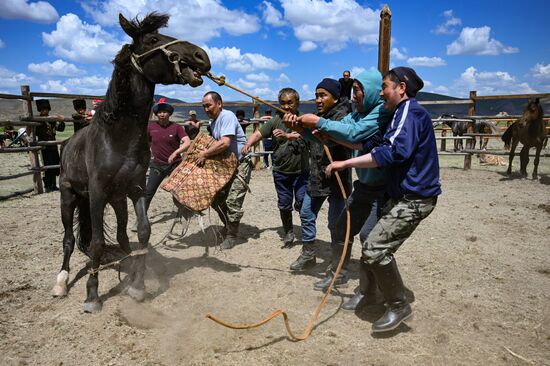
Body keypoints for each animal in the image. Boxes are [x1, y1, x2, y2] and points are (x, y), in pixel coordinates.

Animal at [51, 12, 211, 314]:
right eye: (153, 39)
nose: (201, 56)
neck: (117, 137)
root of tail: (67, 145)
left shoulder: (135, 189)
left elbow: (144, 233)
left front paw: (137, 284)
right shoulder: (97, 194)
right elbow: (97, 244)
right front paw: (92, 296)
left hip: (117, 200)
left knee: (123, 236)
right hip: (69, 196)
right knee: (68, 240)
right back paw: (61, 283)